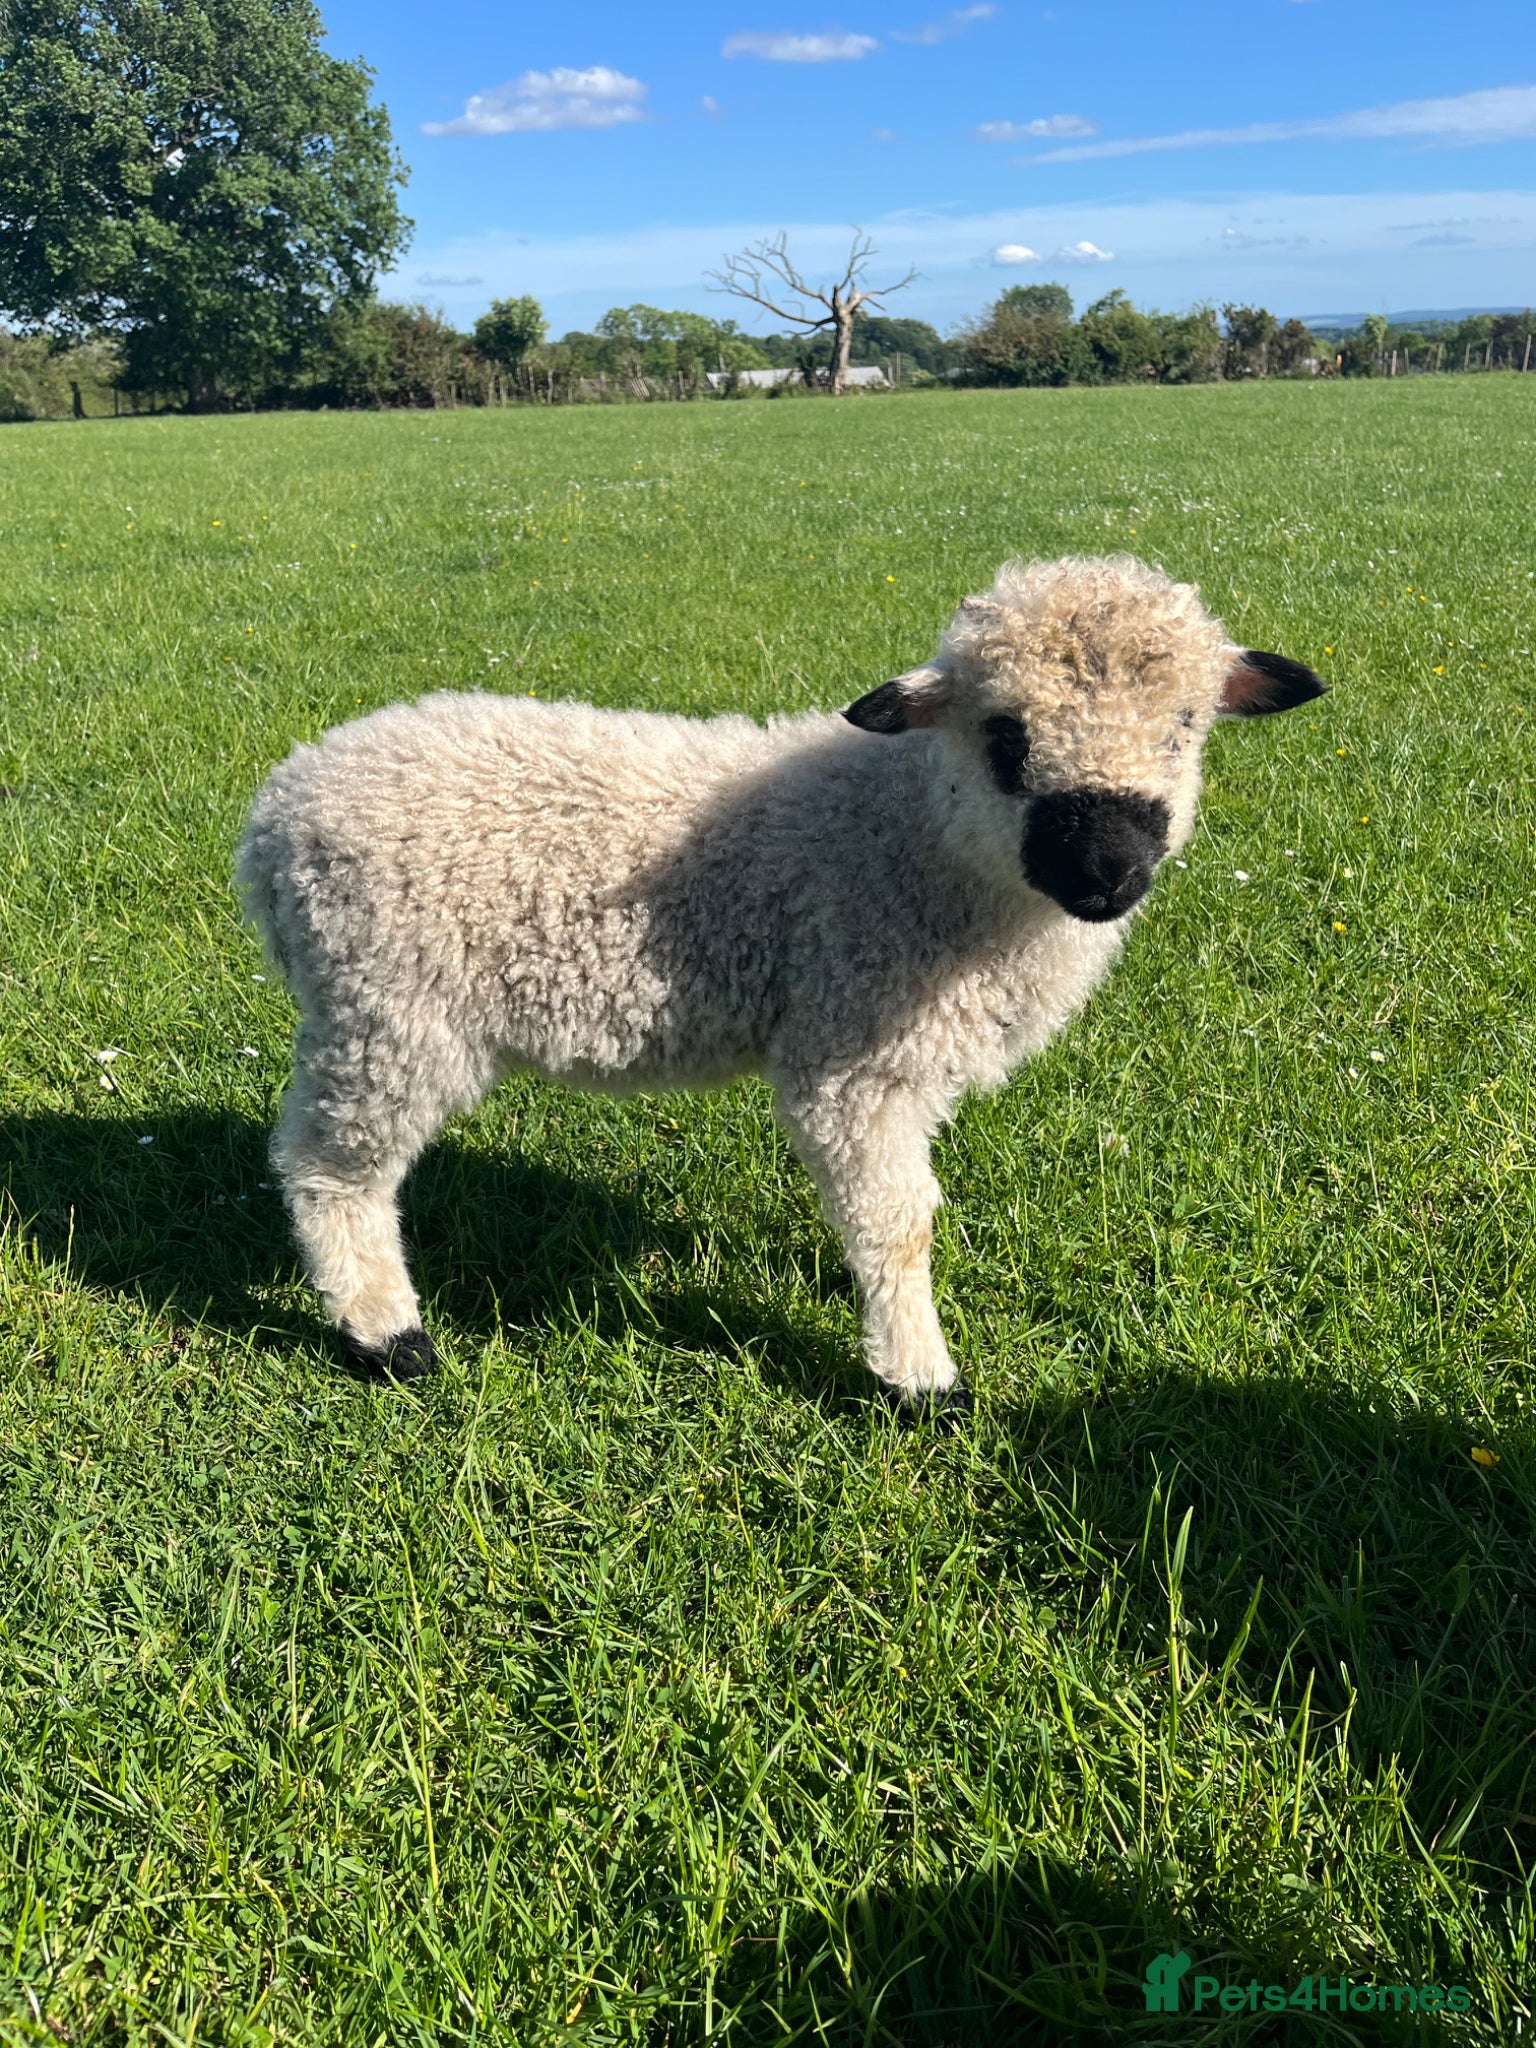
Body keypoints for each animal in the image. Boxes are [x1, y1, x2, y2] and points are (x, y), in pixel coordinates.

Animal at [236, 554, 1324, 1414]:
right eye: (1006, 737)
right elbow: (899, 1224)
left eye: (1185, 726)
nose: (1108, 868)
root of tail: (276, 817)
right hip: (389, 1010)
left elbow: (888, 1205)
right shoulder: (851, 1050)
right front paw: (919, 1378)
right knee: (329, 1168)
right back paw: (386, 1335)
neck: (914, 832)